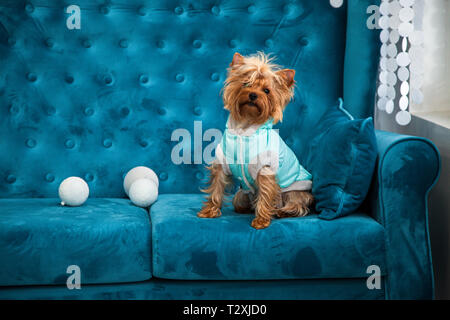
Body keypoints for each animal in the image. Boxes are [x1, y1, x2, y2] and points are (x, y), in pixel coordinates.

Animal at [197, 51, 312, 229]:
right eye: (246, 84)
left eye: (266, 90)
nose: (252, 94)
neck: (244, 129)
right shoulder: (222, 164)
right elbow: (216, 187)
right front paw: (209, 211)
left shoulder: (265, 169)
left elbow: (265, 194)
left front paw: (261, 220)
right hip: (241, 195)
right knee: (239, 202)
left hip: (295, 190)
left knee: (298, 205)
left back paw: (283, 211)